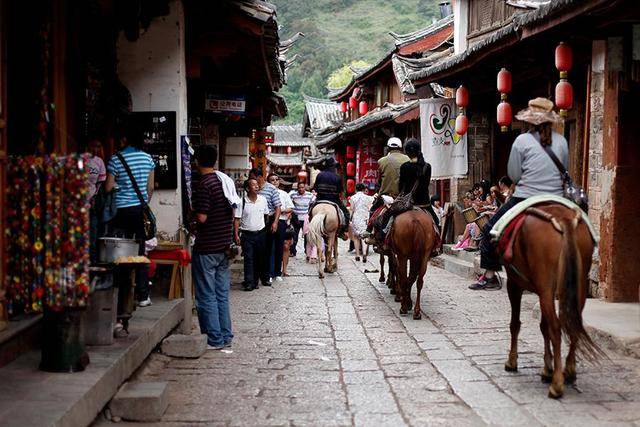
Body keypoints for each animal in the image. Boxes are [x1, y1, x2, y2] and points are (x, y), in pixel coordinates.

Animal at [502, 204, 604, 398]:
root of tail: (563, 219)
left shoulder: (514, 283)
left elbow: (516, 324)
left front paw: (512, 361)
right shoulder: (540, 291)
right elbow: (543, 327)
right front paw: (547, 368)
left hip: (546, 289)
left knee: (556, 328)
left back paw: (557, 384)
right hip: (576, 286)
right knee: (573, 323)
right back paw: (569, 371)